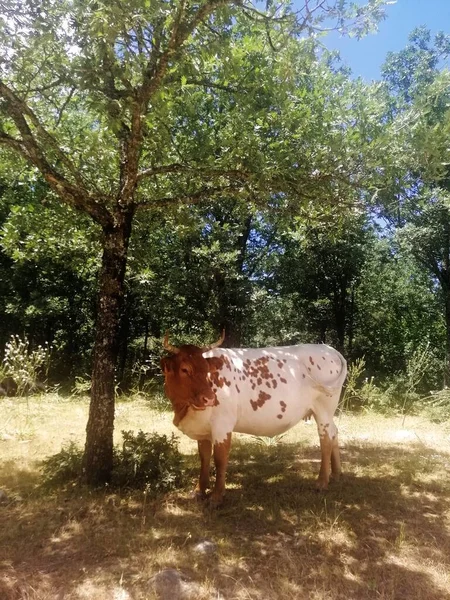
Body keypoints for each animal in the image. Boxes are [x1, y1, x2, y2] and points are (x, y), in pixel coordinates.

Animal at [162, 330, 348, 508]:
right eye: (184, 369)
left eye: (207, 368)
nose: (209, 398)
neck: (184, 409)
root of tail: (329, 349)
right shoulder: (203, 429)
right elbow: (204, 458)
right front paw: (199, 490)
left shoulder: (222, 426)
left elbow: (220, 460)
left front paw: (216, 497)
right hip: (328, 412)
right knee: (334, 432)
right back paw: (336, 473)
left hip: (324, 409)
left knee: (326, 439)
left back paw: (322, 481)